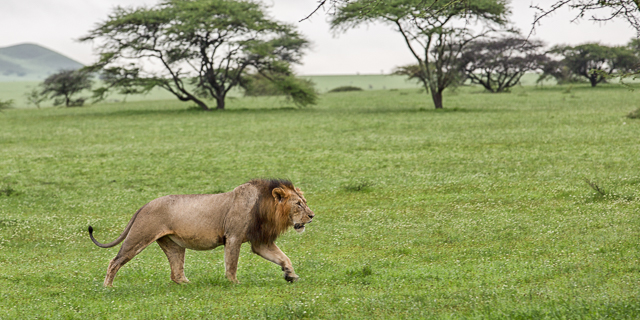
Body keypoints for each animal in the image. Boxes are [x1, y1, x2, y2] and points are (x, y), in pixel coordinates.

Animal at [87, 179, 312, 286]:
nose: (312, 216)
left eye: (304, 202)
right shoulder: (233, 236)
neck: (266, 208)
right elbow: (231, 264)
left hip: (173, 245)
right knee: (115, 261)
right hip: (139, 237)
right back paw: (108, 287)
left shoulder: (260, 242)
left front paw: (290, 275)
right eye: (298, 204)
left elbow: (283, 257)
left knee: (176, 274)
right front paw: (234, 283)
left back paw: (190, 284)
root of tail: (144, 205)